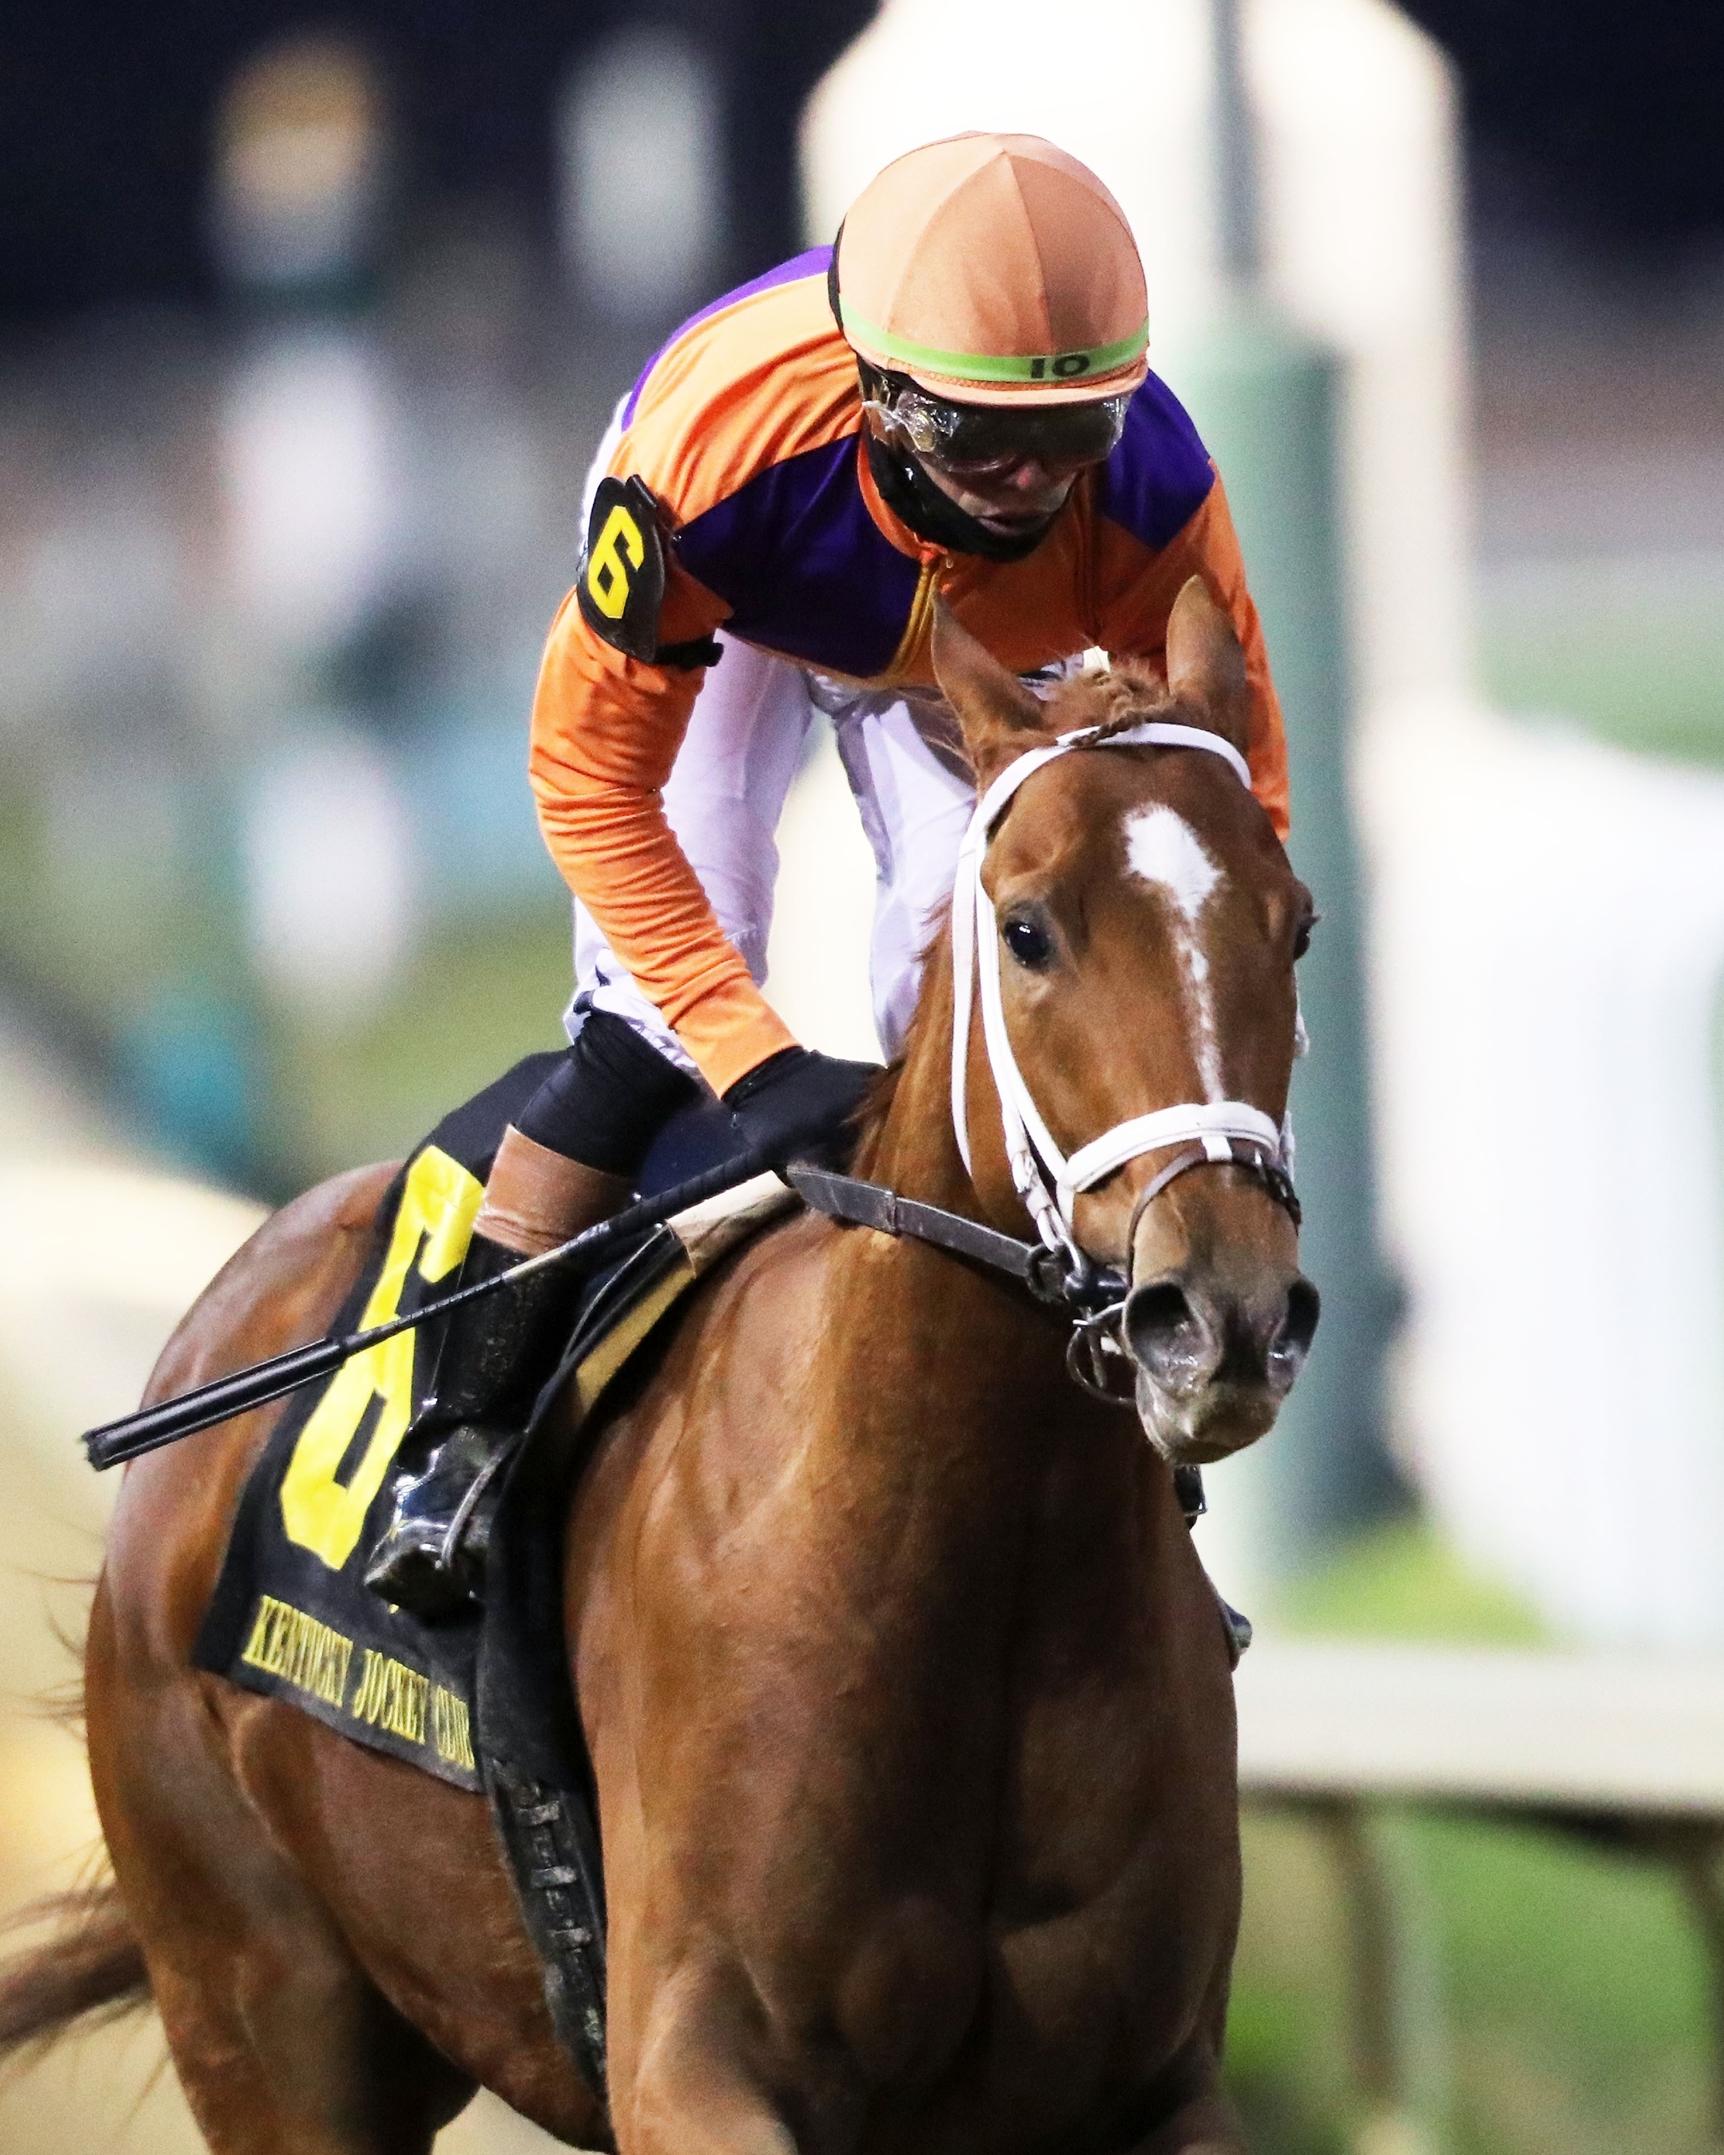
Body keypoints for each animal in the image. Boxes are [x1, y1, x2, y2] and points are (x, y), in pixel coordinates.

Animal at [0, 578, 1317, 2154]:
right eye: (1028, 927)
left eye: (1296, 926)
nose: (1220, 1309)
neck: (969, 1562)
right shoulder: (691, 2059)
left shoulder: (1149, 2080)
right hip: (258, 2009)